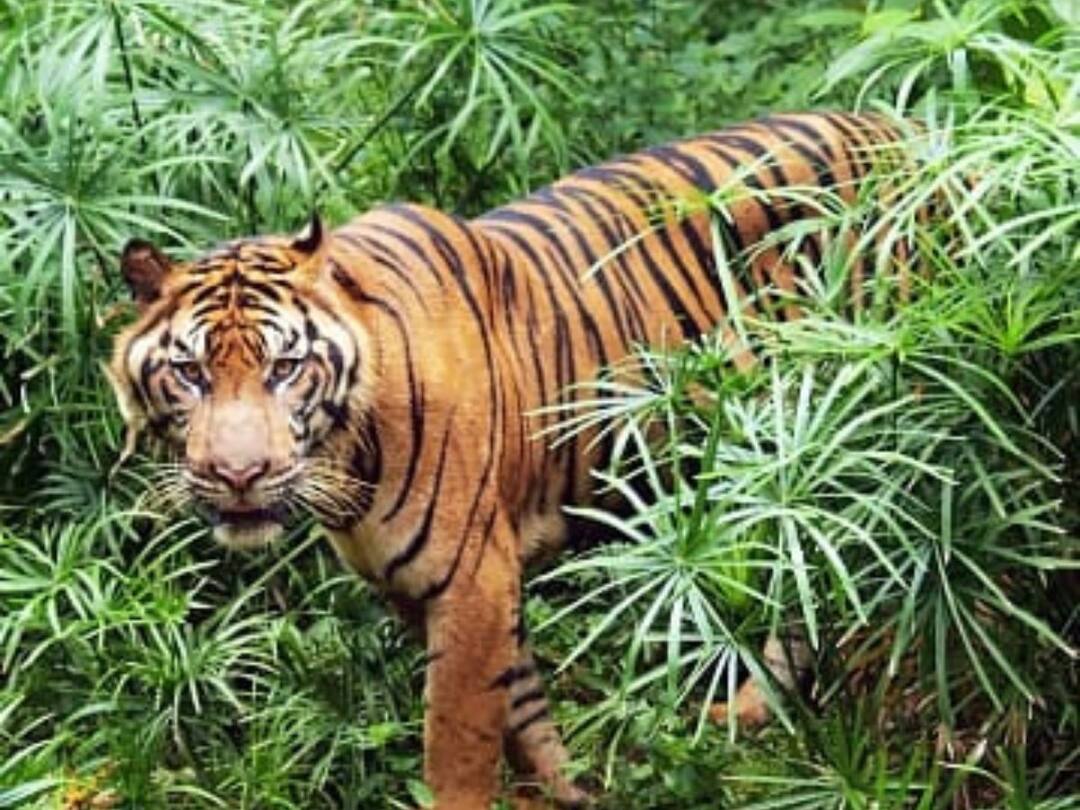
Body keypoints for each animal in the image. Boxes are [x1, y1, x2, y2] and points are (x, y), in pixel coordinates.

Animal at [107, 111, 908, 810]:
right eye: (190, 373)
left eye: (285, 367)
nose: (237, 476)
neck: (346, 460)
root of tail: (906, 127)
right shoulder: (425, 585)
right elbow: (520, 704)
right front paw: (570, 787)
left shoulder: (471, 578)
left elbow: (456, 741)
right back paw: (749, 710)